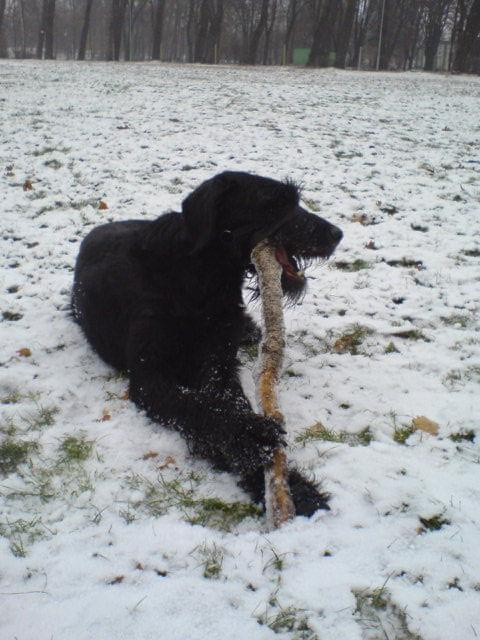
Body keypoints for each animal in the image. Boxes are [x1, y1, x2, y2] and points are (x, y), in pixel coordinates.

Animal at [71, 170, 342, 516]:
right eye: (275, 203)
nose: (337, 234)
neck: (197, 279)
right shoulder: (150, 379)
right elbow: (198, 405)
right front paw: (249, 438)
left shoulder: (219, 361)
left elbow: (225, 400)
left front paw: (291, 487)